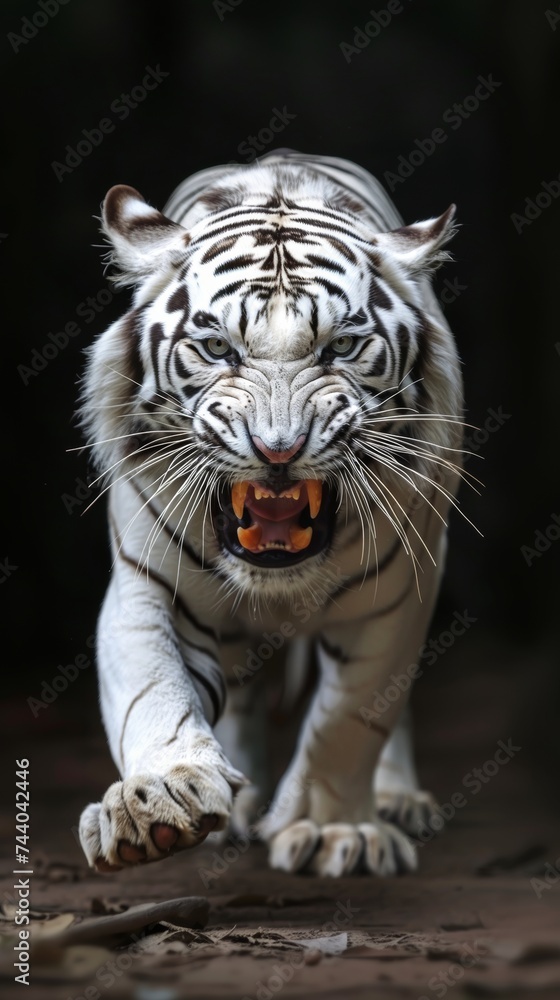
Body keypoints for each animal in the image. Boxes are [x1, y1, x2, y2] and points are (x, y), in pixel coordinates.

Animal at [78, 149, 463, 878]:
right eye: (217, 349)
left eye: (340, 348)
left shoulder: (399, 595)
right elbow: (153, 691)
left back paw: (395, 801)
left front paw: (335, 831)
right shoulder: (148, 587)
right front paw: (159, 799)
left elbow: (351, 718)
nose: (278, 449)